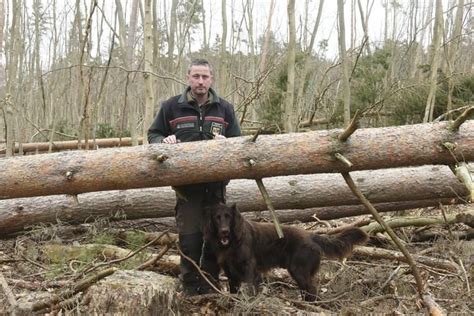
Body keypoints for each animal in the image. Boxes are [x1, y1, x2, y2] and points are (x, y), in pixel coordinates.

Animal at [202, 202, 368, 302]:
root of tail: (311, 235)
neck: (233, 243)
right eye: (217, 218)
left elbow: (251, 290)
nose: (224, 232)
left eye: (228, 217)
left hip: (299, 270)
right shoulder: (230, 272)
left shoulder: (250, 268)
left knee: (312, 291)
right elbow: (234, 291)